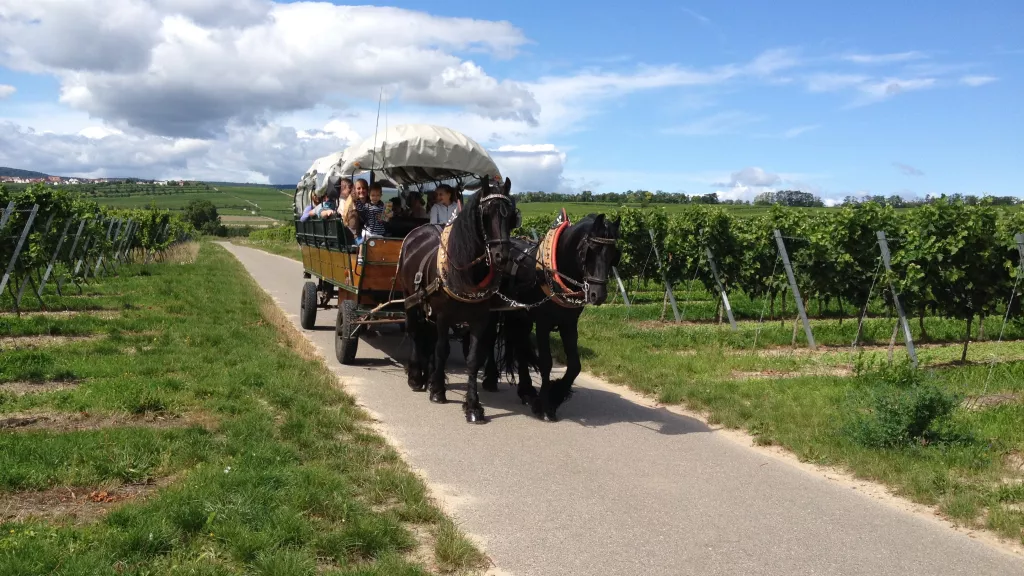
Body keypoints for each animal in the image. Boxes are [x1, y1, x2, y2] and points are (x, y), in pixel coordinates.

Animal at [395, 175, 516, 422]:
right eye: (485, 214)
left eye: (511, 216)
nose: (502, 257)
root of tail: (418, 230)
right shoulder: (443, 316)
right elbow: (442, 350)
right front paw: (438, 391)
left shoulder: (480, 320)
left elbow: (473, 359)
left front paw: (473, 406)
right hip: (410, 298)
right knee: (415, 333)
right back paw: (416, 376)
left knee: (427, 337)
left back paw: (429, 374)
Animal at [483, 211, 618, 422]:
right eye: (591, 250)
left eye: (613, 254)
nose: (599, 295)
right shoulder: (543, 323)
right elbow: (546, 362)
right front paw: (544, 405)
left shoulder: (569, 324)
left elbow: (575, 365)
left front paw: (556, 396)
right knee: (490, 339)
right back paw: (490, 378)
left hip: (520, 316)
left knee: (520, 346)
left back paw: (527, 390)